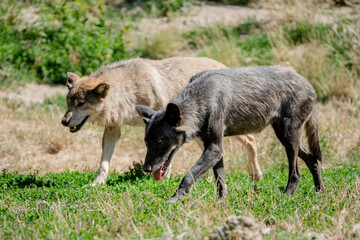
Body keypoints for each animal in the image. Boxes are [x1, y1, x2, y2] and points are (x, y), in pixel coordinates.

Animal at [61, 56, 262, 186]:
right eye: (69, 102)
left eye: (81, 103)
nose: (64, 121)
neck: (128, 92)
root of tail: (224, 66)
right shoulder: (113, 129)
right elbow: (104, 162)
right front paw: (97, 183)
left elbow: (166, 158)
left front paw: (161, 181)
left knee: (251, 140)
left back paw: (256, 175)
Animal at [136, 65, 326, 202]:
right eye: (146, 142)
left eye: (160, 141)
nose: (146, 169)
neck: (202, 99)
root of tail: (308, 83)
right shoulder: (214, 149)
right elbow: (220, 180)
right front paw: (221, 201)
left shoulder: (214, 148)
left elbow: (188, 176)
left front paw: (173, 201)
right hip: (285, 138)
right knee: (312, 159)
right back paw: (320, 192)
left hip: (288, 138)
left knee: (296, 174)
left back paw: (286, 196)